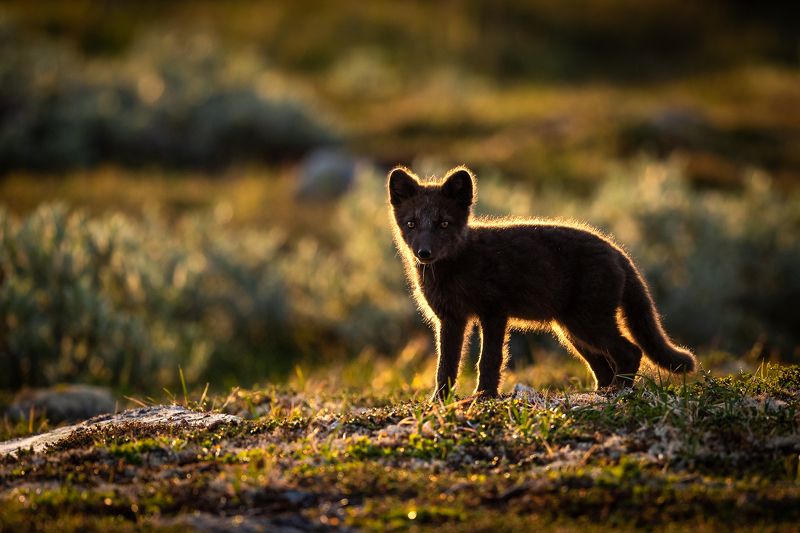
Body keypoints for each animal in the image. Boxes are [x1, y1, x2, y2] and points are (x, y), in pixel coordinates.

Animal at [387, 165, 696, 400]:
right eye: (412, 224)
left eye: (444, 223)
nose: (424, 253)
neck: (454, 268)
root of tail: (618, 251)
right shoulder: (451, 319)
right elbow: (446, 365)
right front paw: (440, 400)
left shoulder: (494, 312)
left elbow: (489, 359)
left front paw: (484, 396)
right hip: (572, 331)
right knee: (603, 365)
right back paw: (600, 393)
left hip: (588, 323)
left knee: (630, 351)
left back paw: (618, 392)